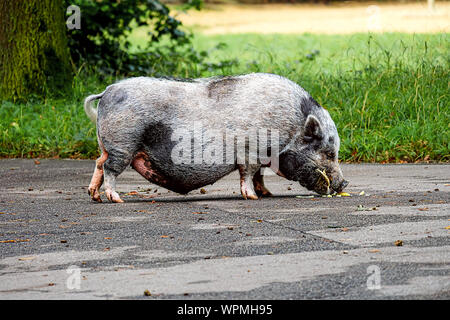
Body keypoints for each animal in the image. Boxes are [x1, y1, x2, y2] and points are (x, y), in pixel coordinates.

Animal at [84, 73, 348, 202]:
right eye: (329, 153)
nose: (344, 183)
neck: (291, 126)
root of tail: (107, 91)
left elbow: (260, 175)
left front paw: (267, 194)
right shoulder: (251, 151)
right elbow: (248, 173)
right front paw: (253, 197)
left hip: (108, 145)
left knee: (98, 163)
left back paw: (94, 197)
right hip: (123, 143)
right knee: (109, 168)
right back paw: (116, 199)